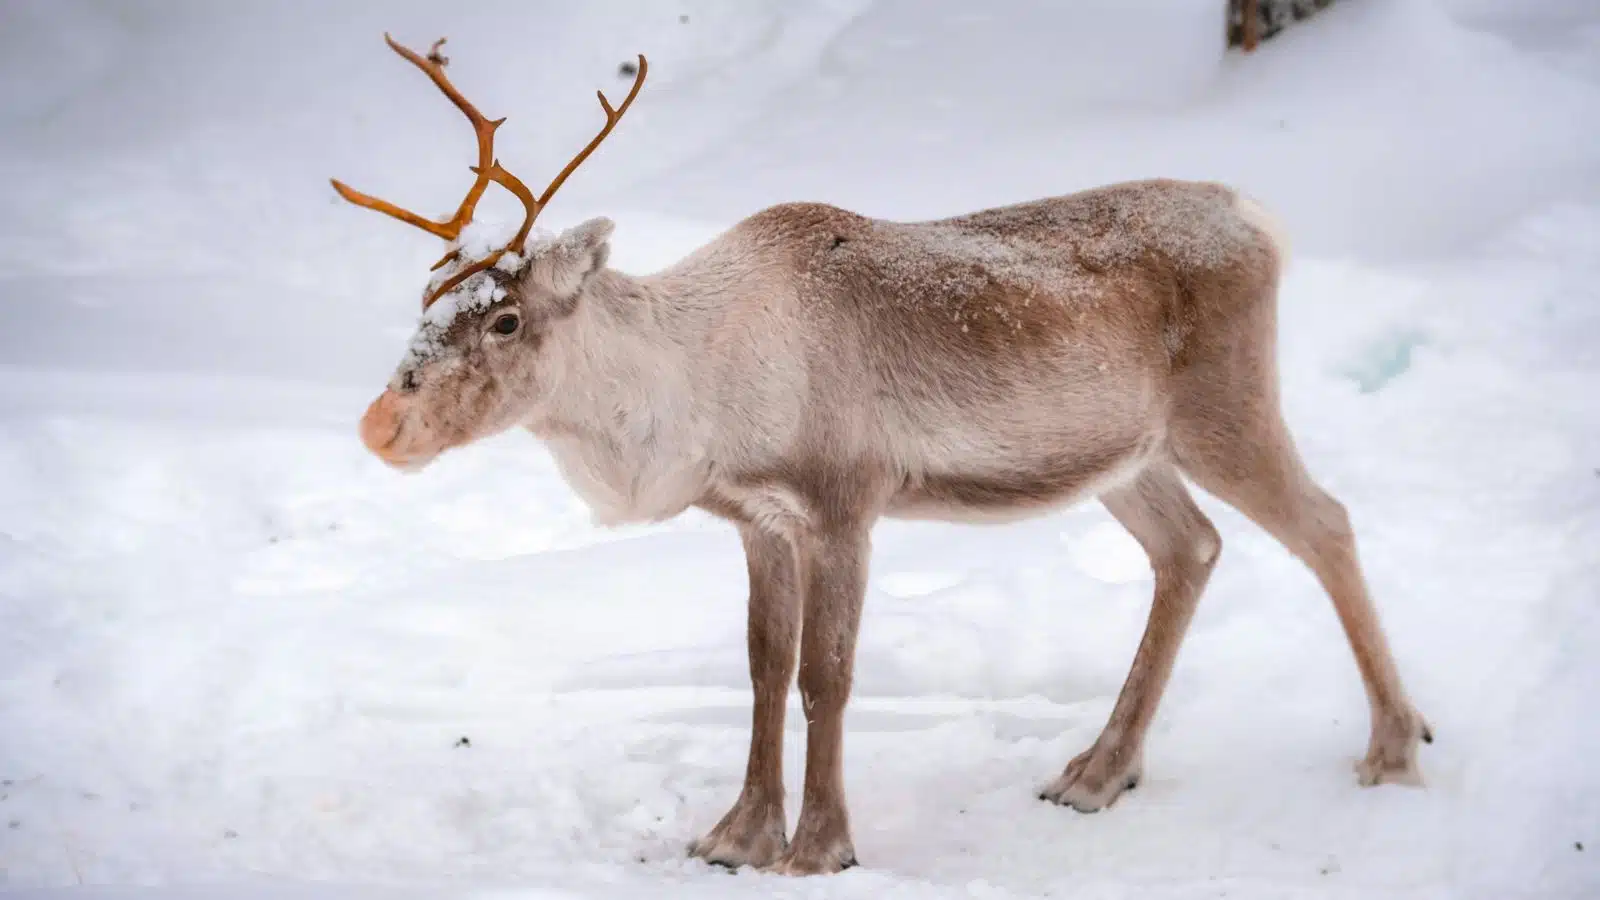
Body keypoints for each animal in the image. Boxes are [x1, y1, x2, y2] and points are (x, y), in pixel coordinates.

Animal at [333, 35, 1432, 876]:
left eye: (506, 318)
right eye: (426, 301)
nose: (380, 426)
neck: (690, 389)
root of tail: (1259, 217)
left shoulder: (843, 501)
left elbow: (826, 675)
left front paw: (819, 847)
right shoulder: (757, 518)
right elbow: (762, 668)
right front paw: (735, 836)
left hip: (1223, 407)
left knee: (1325, 522)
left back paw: (1394, 748)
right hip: (1129, 458)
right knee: (1191, 549)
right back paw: (1096, 771)